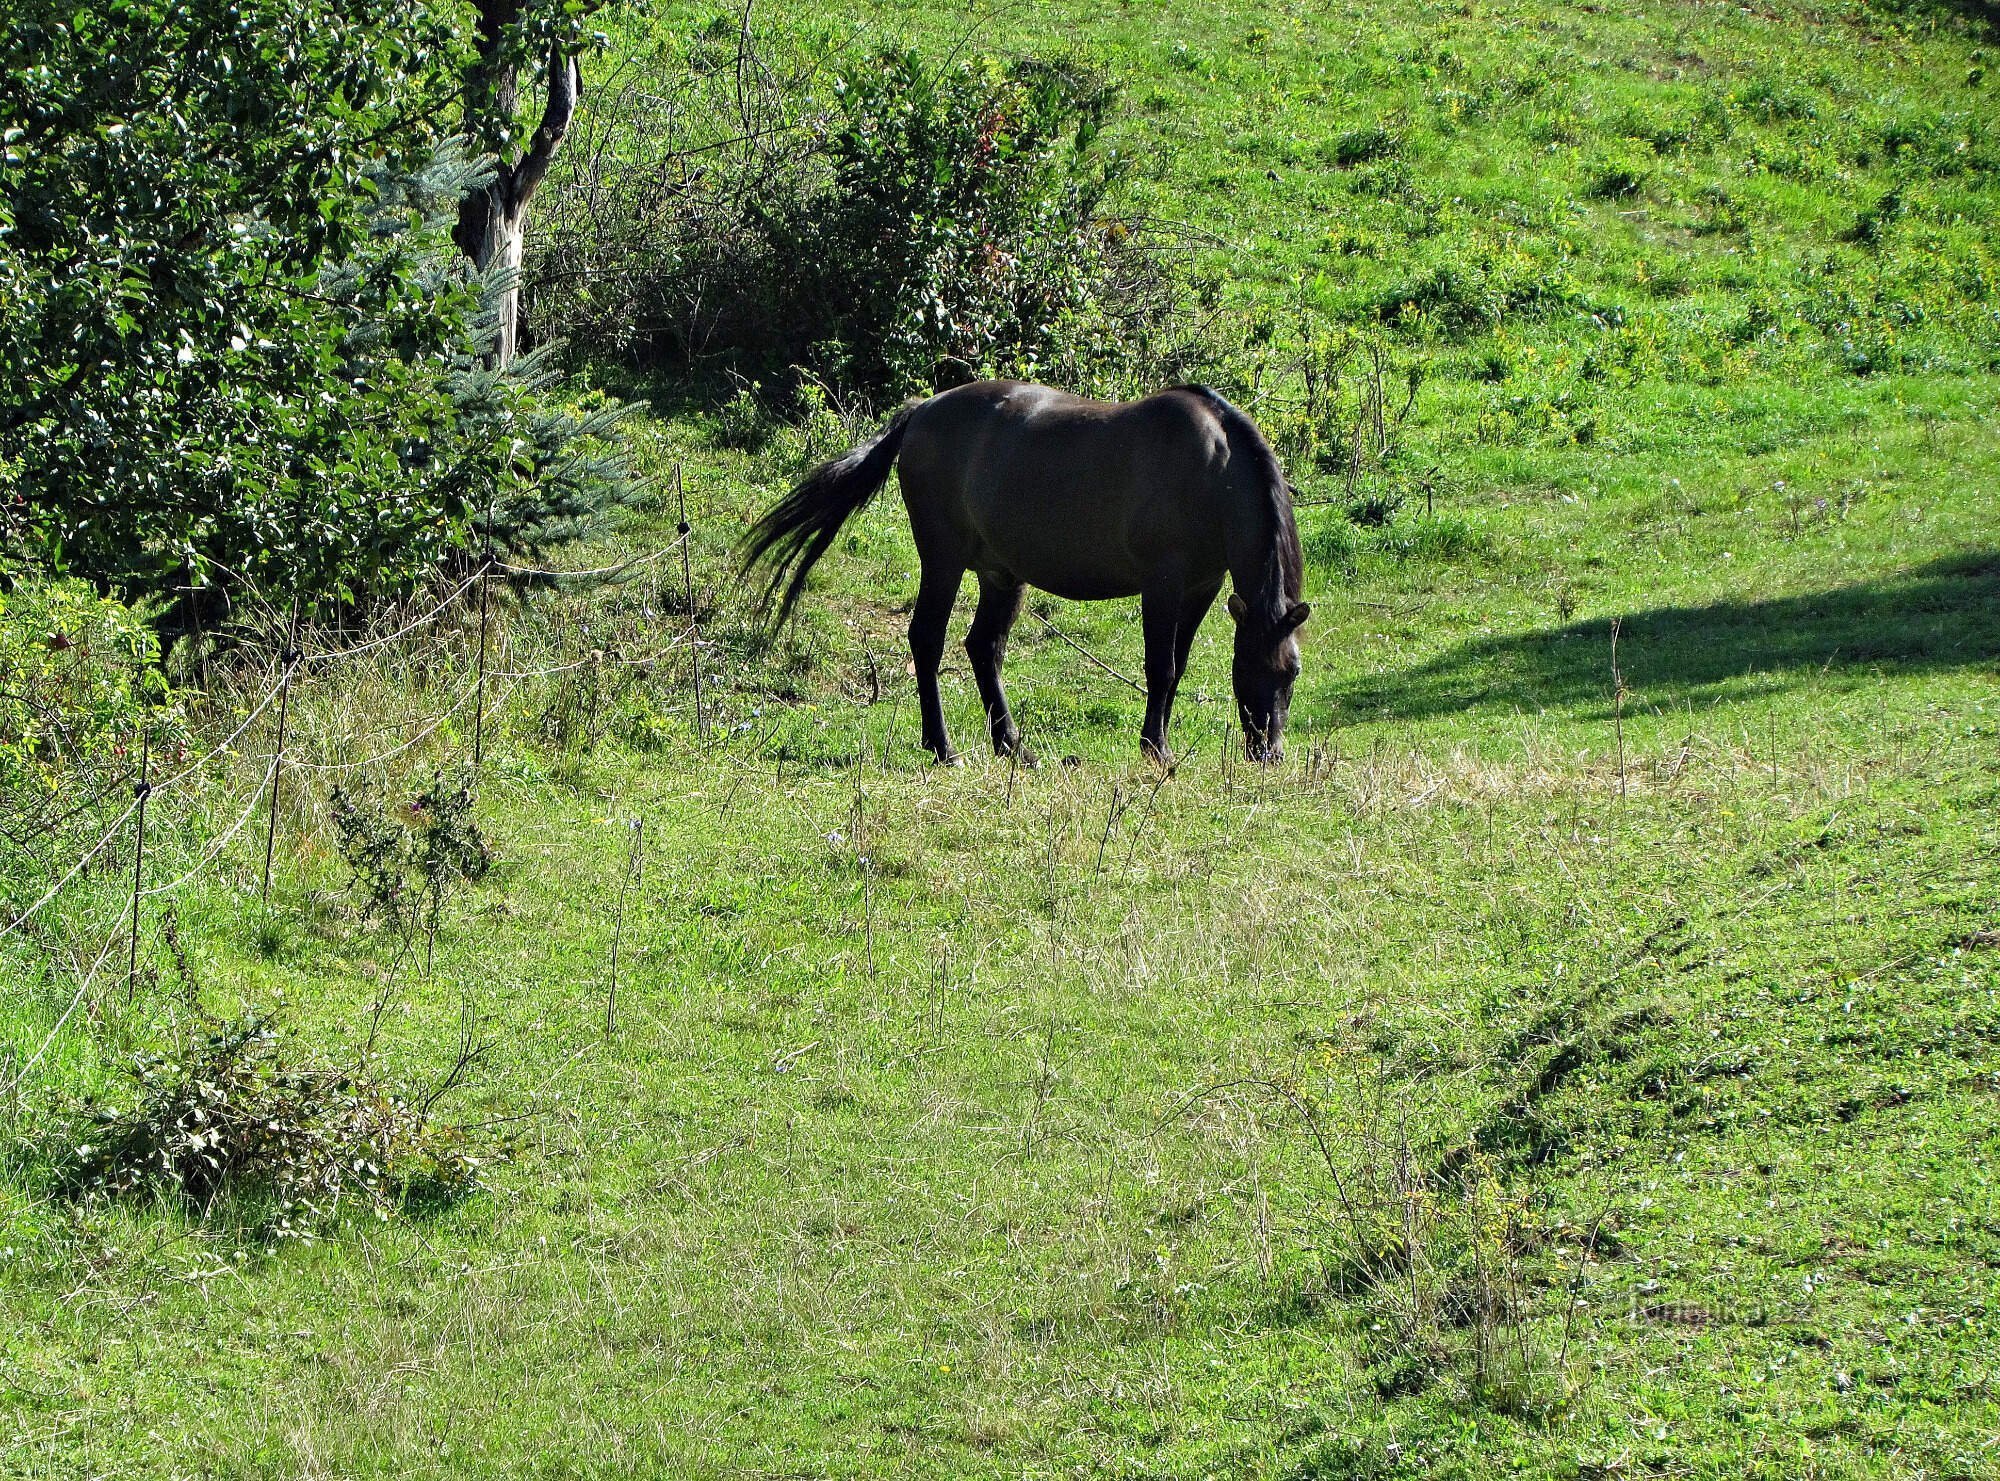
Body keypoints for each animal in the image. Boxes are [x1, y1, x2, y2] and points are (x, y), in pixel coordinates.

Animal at [740, 382, 1312, 764]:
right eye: (1252, 669)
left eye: (1291, 673)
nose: (1269, 753)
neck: (1213, 472)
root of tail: (922, 412)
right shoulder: (1163, 586)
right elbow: (1162, 667)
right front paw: (1156, 749)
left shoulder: (1201, 587)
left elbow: (1179, 666)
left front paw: (1158, 743)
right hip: (943, 560)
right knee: (927, 639)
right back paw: (943, 747)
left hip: (1000, 575)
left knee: (983, 648)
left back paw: (1012, 746)